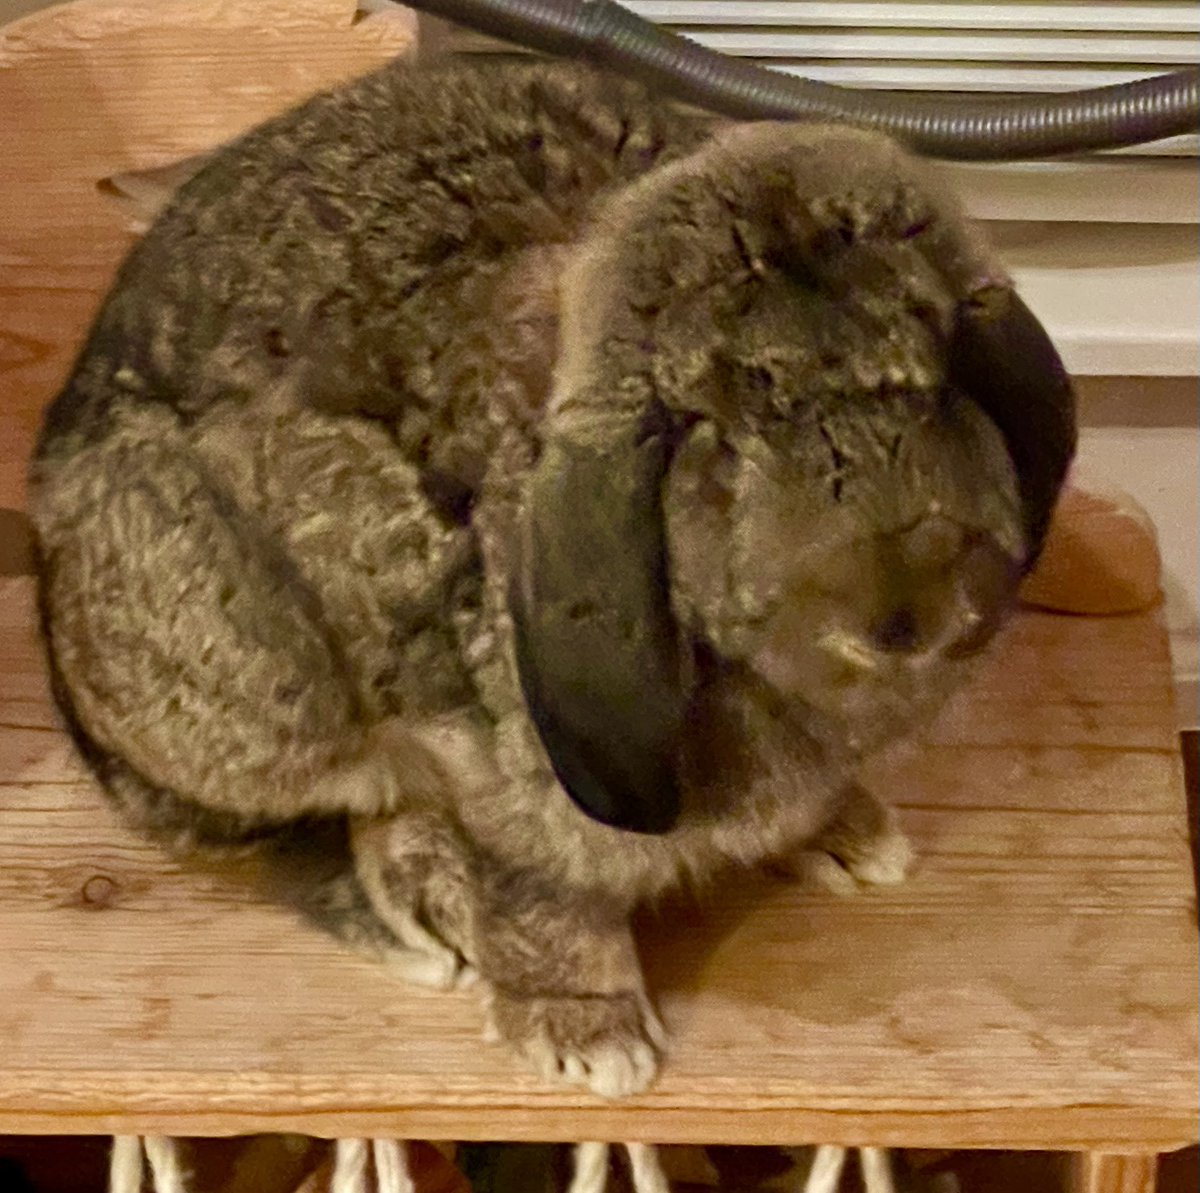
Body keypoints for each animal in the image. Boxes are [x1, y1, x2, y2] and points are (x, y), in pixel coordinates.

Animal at [29, 58, 1075, 1097]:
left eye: (943, 381)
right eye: (714, 444)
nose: (908, 611)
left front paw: (844, 831)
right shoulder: (494, 769)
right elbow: (544, 898)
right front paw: (591, 1039)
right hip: (257, 686)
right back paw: (418, 919)